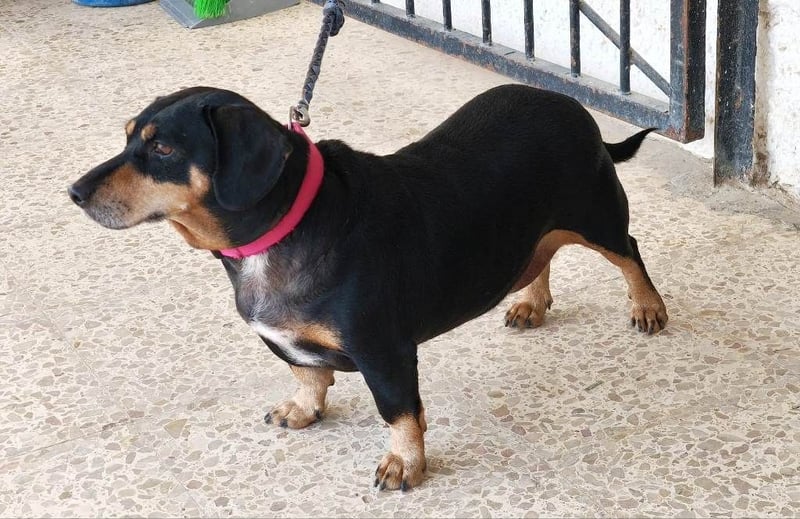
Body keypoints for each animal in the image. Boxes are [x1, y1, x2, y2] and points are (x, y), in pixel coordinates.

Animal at [69, 84, 667, 491]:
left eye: (164, 150)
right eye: (128, 136)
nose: (74, 192)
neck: (285, 229)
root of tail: (571, 106)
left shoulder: (384, 352)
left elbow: (398, 411)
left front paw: (404, 463)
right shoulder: (283, 342)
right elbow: (307, 373)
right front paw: (303, 408)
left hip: (597, 215)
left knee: (631, 252)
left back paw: (647, 306)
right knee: (540, 255)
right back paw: (530, 302)